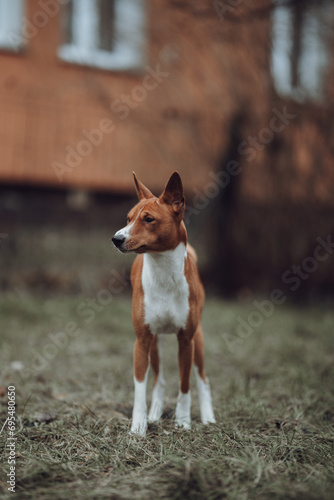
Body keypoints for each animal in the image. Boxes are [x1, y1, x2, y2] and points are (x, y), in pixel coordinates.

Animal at [112, 172, 217, 434]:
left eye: (149, 219)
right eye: (128, 218)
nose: (116, 239)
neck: (164, 275)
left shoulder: (186, 340)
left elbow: (185, 386)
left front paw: (183, 421)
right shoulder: (142, 340)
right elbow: (140, 388)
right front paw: (138, 426)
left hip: (198, 339)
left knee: (203, 378)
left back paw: (208, 416)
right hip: (155, 341)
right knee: (159, 379)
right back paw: (155, 413)